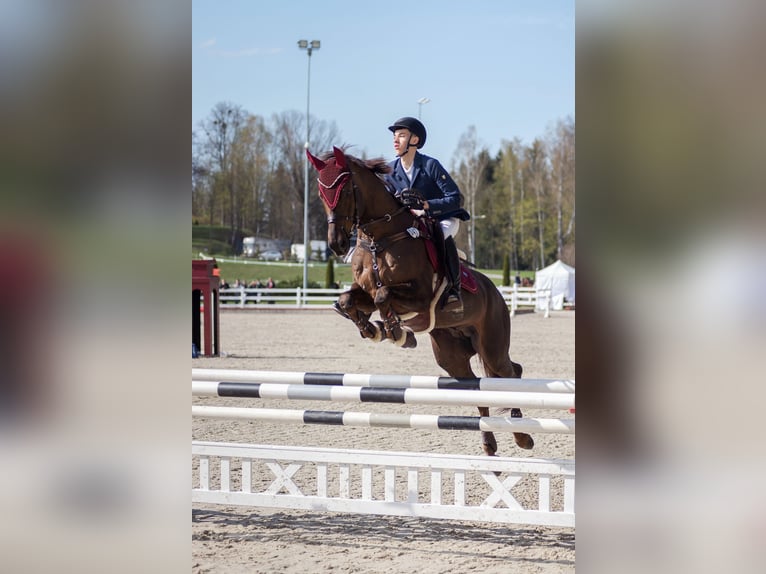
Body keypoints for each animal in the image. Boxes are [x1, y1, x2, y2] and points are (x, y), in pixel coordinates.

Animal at [306, 148, 536, 460]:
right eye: (321, 193)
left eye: (344, 191)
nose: (337, 245)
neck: (381, 237)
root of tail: (496, 292)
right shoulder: (365, 291)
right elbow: (347, 300)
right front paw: (375, 330)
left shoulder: (421, 295)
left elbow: (383, 296)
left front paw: (395, 331)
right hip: (452, 357)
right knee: (479, 387)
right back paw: (490, 445)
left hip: (491, 346)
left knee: (510, 373)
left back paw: (523, 436)